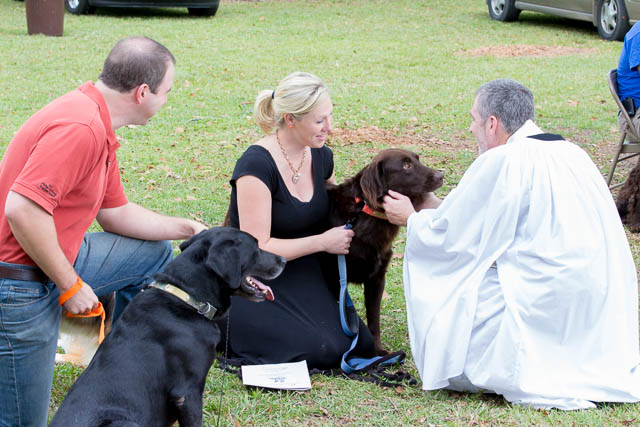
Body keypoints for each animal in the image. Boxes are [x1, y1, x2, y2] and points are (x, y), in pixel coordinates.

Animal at [324, 149, 440, 356]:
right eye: (406, 166)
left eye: (417, 160)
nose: (440, 176)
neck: (364, 212)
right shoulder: (334, 278)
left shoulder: (376, 278)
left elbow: (374, 320)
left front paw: (377, 351)